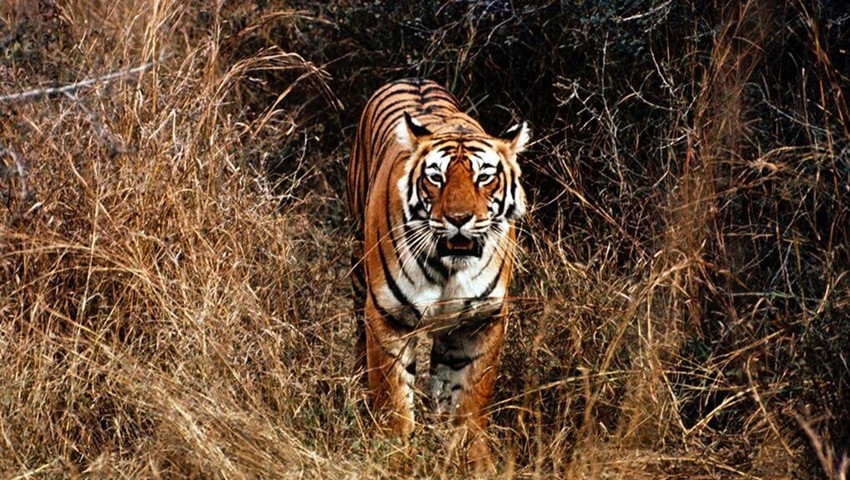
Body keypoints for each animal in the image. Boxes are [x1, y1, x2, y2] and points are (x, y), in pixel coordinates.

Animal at [347, 78, 529, 467]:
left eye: (484, 177)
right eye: (436, 177)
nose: (459, 219)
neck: (448, 270)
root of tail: (411, 78)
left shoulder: (483, 319)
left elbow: (470, 400)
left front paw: (474, 462)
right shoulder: (389, 315)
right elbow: (394, 399)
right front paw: (394, 459)